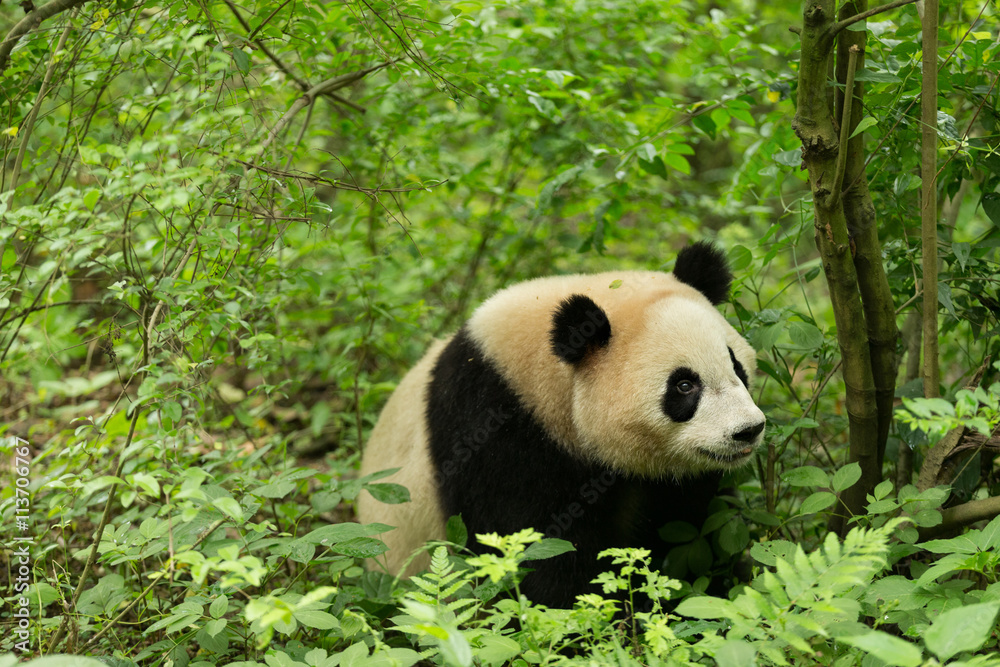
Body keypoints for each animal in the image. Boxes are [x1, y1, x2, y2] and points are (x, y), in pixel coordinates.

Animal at [358, 242, 765, 608]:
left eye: (737, 367)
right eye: (683, 386)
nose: (748, 429)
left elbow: (690, 527)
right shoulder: (491, 426)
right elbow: (533, 549)